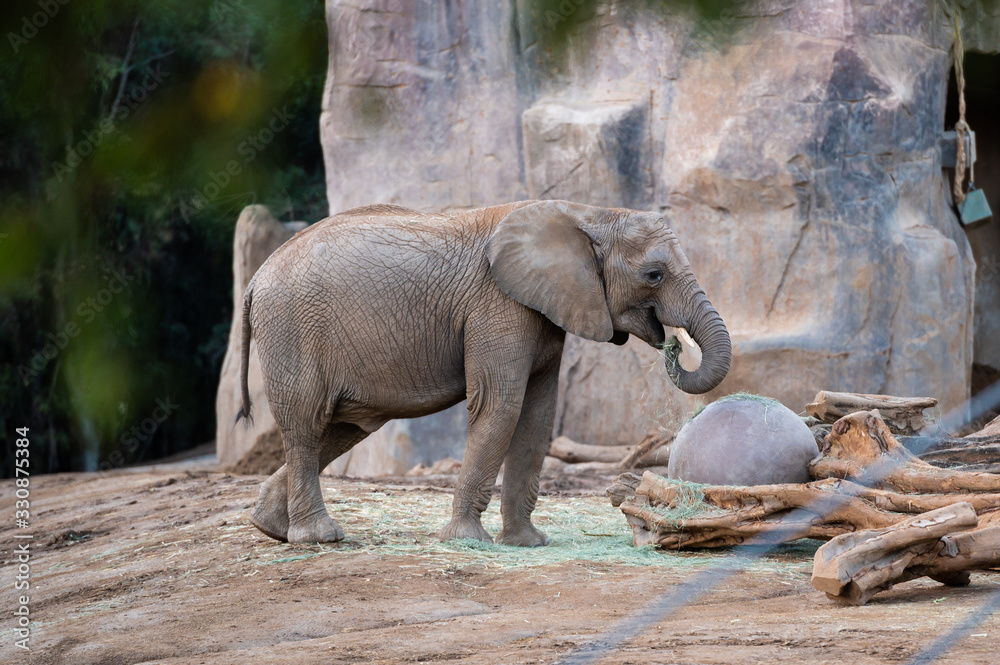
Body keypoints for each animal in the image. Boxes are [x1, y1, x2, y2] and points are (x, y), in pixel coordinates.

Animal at [237, 200, 731, 546]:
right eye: (654, 275)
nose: (672, 345)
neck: (588, 213)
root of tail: (254, 280)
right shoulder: (498, 305)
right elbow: (501, 405)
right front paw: (468, 542)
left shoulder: (542, 312)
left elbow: (537, 415)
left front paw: (527, 544)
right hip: (291, 330)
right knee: (308, 425)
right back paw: (318, 537)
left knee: (342, 427)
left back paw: (269, 527)